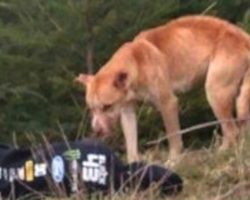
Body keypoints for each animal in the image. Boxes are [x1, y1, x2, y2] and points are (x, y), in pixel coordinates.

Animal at [75, 15, 250, 162]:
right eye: (91, 108)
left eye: (107, 106)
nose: (96, 131)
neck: (136, 63)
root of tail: (243, 37)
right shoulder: (127, 111)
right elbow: (131, 144)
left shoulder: (168, 103)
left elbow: (173, 137)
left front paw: (173, 160)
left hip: (215, 92)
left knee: (231, 131)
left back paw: (221, 153)